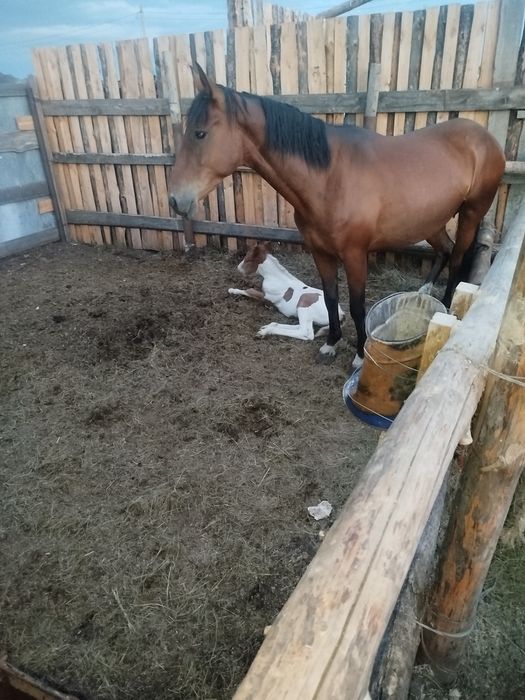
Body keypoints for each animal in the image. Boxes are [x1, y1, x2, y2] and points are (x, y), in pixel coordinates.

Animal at [168, 64, 505, 368]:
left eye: (200, 133)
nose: (175, 200)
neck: (330, 177)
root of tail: (484, 137)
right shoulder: (321, 252)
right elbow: (330, 299)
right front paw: (331, 343)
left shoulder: (355, 255)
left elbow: (356, 305)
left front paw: (359, 355)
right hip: (430, 221)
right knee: (445, 250)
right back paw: (422, 291)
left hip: (471, 212)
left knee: (458, 258)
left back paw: (443, 308)